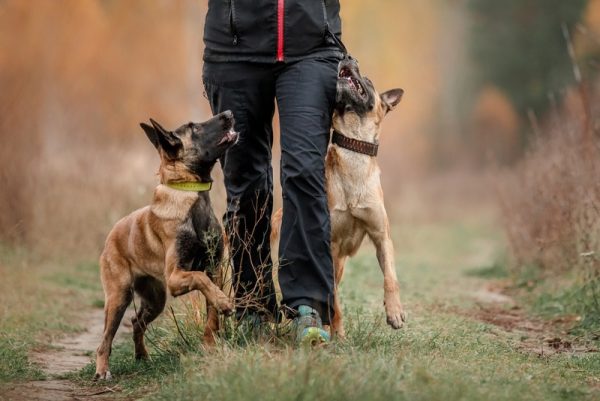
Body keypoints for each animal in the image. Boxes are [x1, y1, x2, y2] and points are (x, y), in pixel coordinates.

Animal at [94, 111, 237, 380]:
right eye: (194, 128)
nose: (229, 113)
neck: (191, 195)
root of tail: (112, 233)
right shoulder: (175, 277)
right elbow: (201, 279)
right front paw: (224, 302)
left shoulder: (214, 269)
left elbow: (211, 308)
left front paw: (210, 344)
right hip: (119, 297)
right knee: (105, 339)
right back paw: (102, 370)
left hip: (156, 300)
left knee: (137, 322)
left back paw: (142, 356)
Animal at [274, 56, 408, 338]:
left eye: (367, 79)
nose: (347, 57)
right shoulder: (331, 248)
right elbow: (333, 299)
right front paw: (339, 334)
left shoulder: (381, 236)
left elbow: (390, 277)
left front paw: (394, 312)